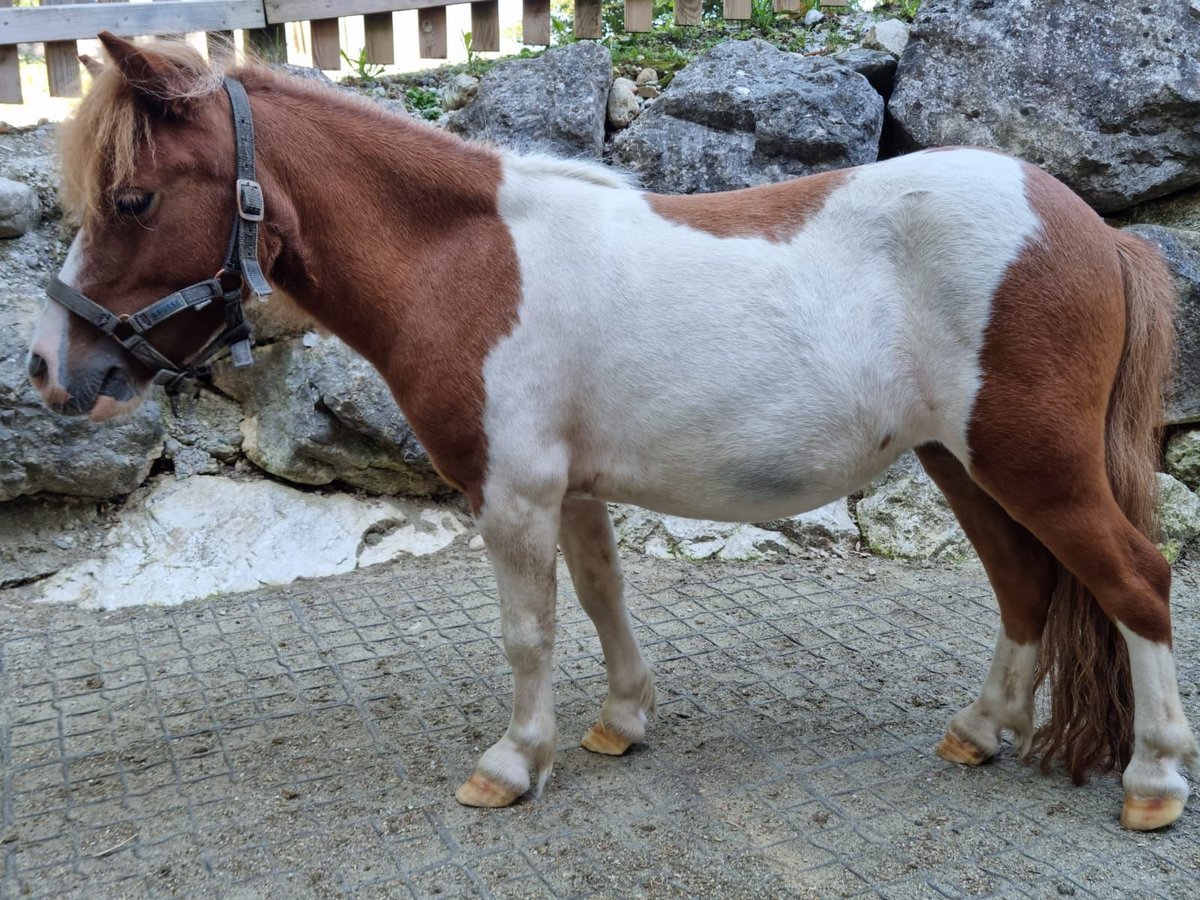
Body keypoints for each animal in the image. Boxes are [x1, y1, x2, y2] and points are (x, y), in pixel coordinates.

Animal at [25, 37, 1190, 830]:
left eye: (132, 199)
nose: (49, 371)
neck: (465, 261)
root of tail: (1093, 229)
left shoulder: (512, 493)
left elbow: (529, 630)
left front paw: (512, 764)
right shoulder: (573, 488)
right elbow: (599, 599)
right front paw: (622, 723)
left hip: (1032, 465)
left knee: (1135, 580)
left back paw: (1154, 780)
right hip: (965, 465)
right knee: (1027, 585)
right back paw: (980, 733)